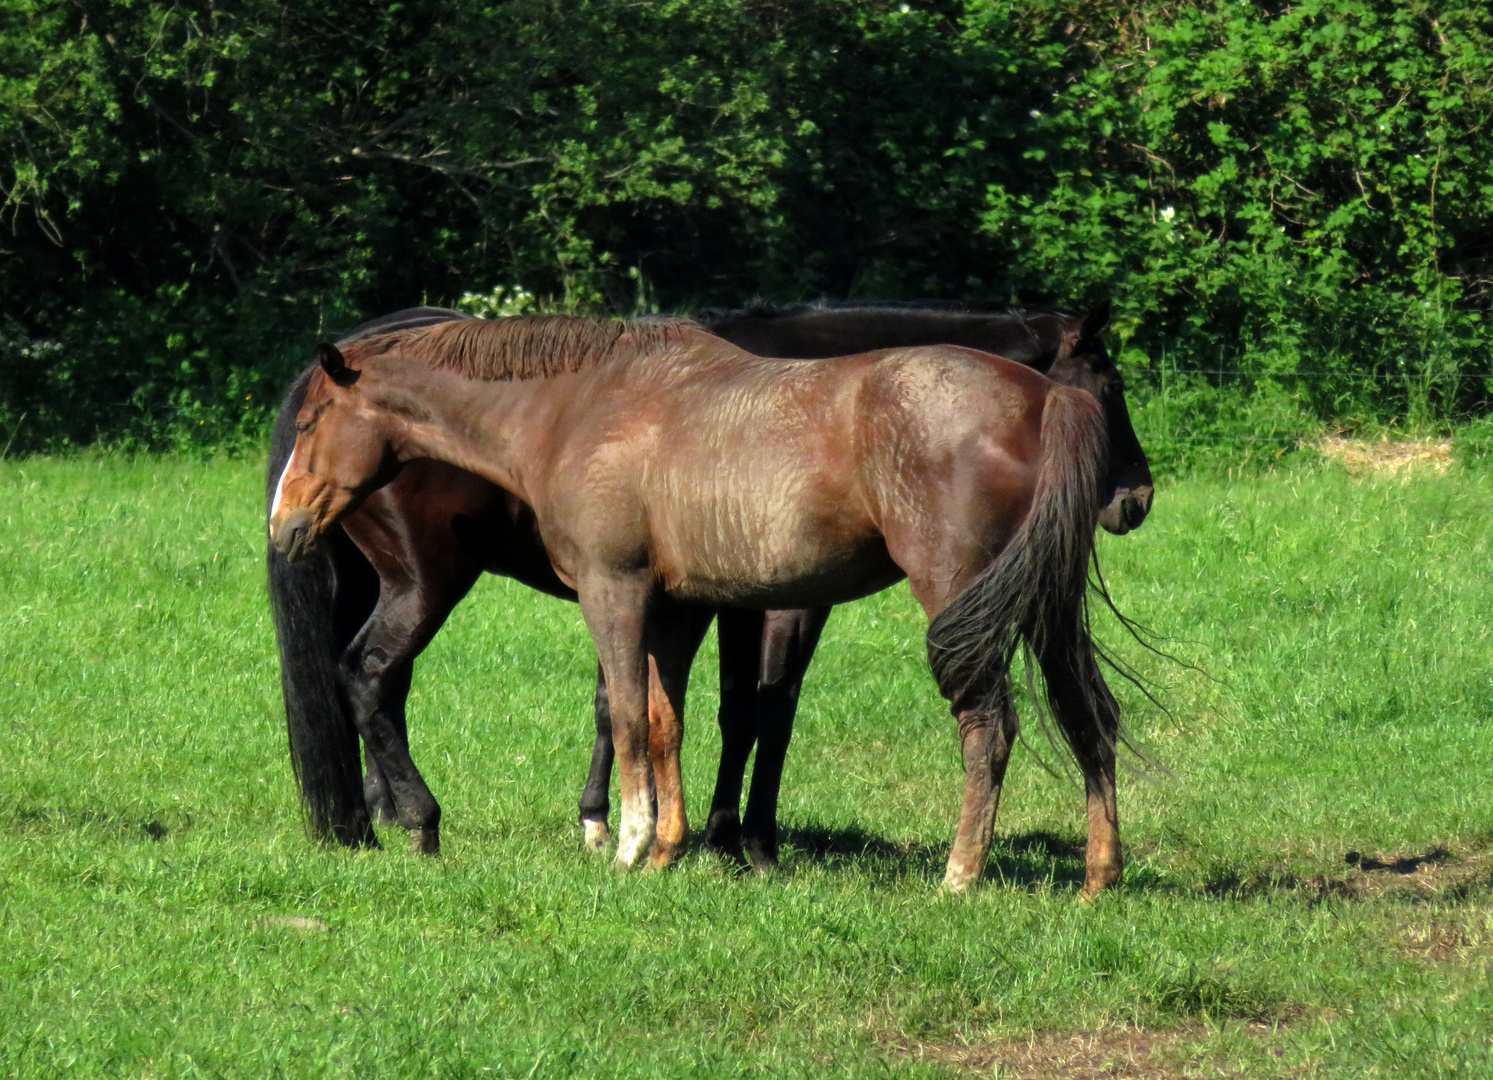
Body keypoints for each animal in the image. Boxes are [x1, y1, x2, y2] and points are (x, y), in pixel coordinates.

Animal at [268, 301, 1152, 872]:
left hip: (966, 603)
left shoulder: (620, 593)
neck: (578, 406)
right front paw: (672, 846)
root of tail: (1043, 401)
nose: (285, 520)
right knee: (1087, 712)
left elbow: (641, 716)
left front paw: (633, 844)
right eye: (1113, 385)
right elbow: (671, 722)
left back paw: (961, 874)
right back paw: (1098, 875)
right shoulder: (679, 607)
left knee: (990, 725)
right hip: (1041, 607)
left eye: (315, 424)